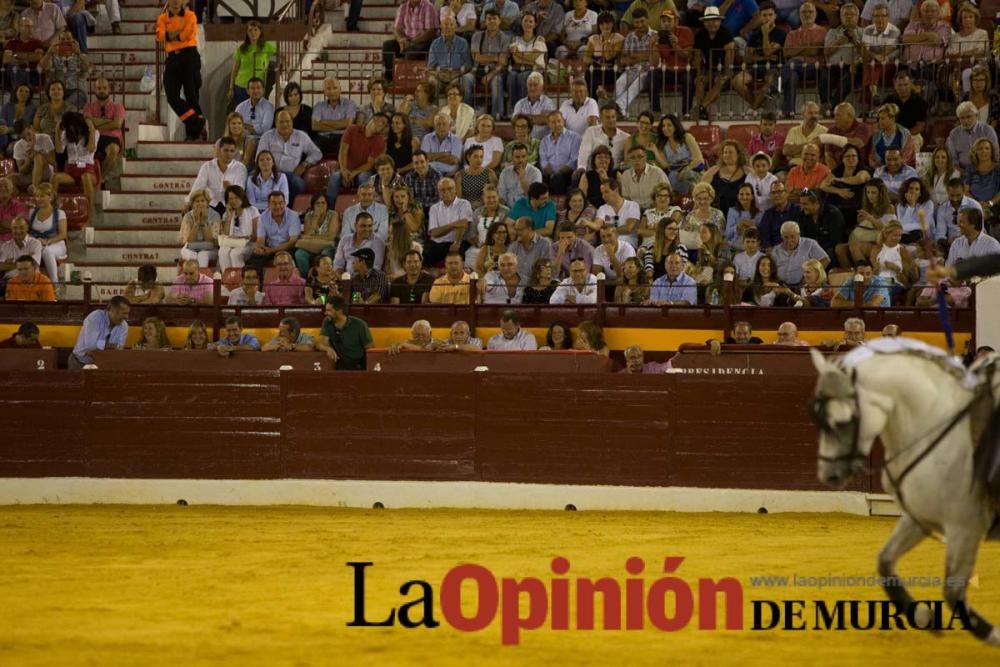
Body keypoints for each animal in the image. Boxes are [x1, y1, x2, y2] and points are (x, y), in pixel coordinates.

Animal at [808, 340, 1000, 648]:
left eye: (842, 420)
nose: (828, 474)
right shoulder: (918, 519)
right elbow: (885, 562)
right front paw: (923, 616)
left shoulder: (965, 527)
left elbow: (953, 593)